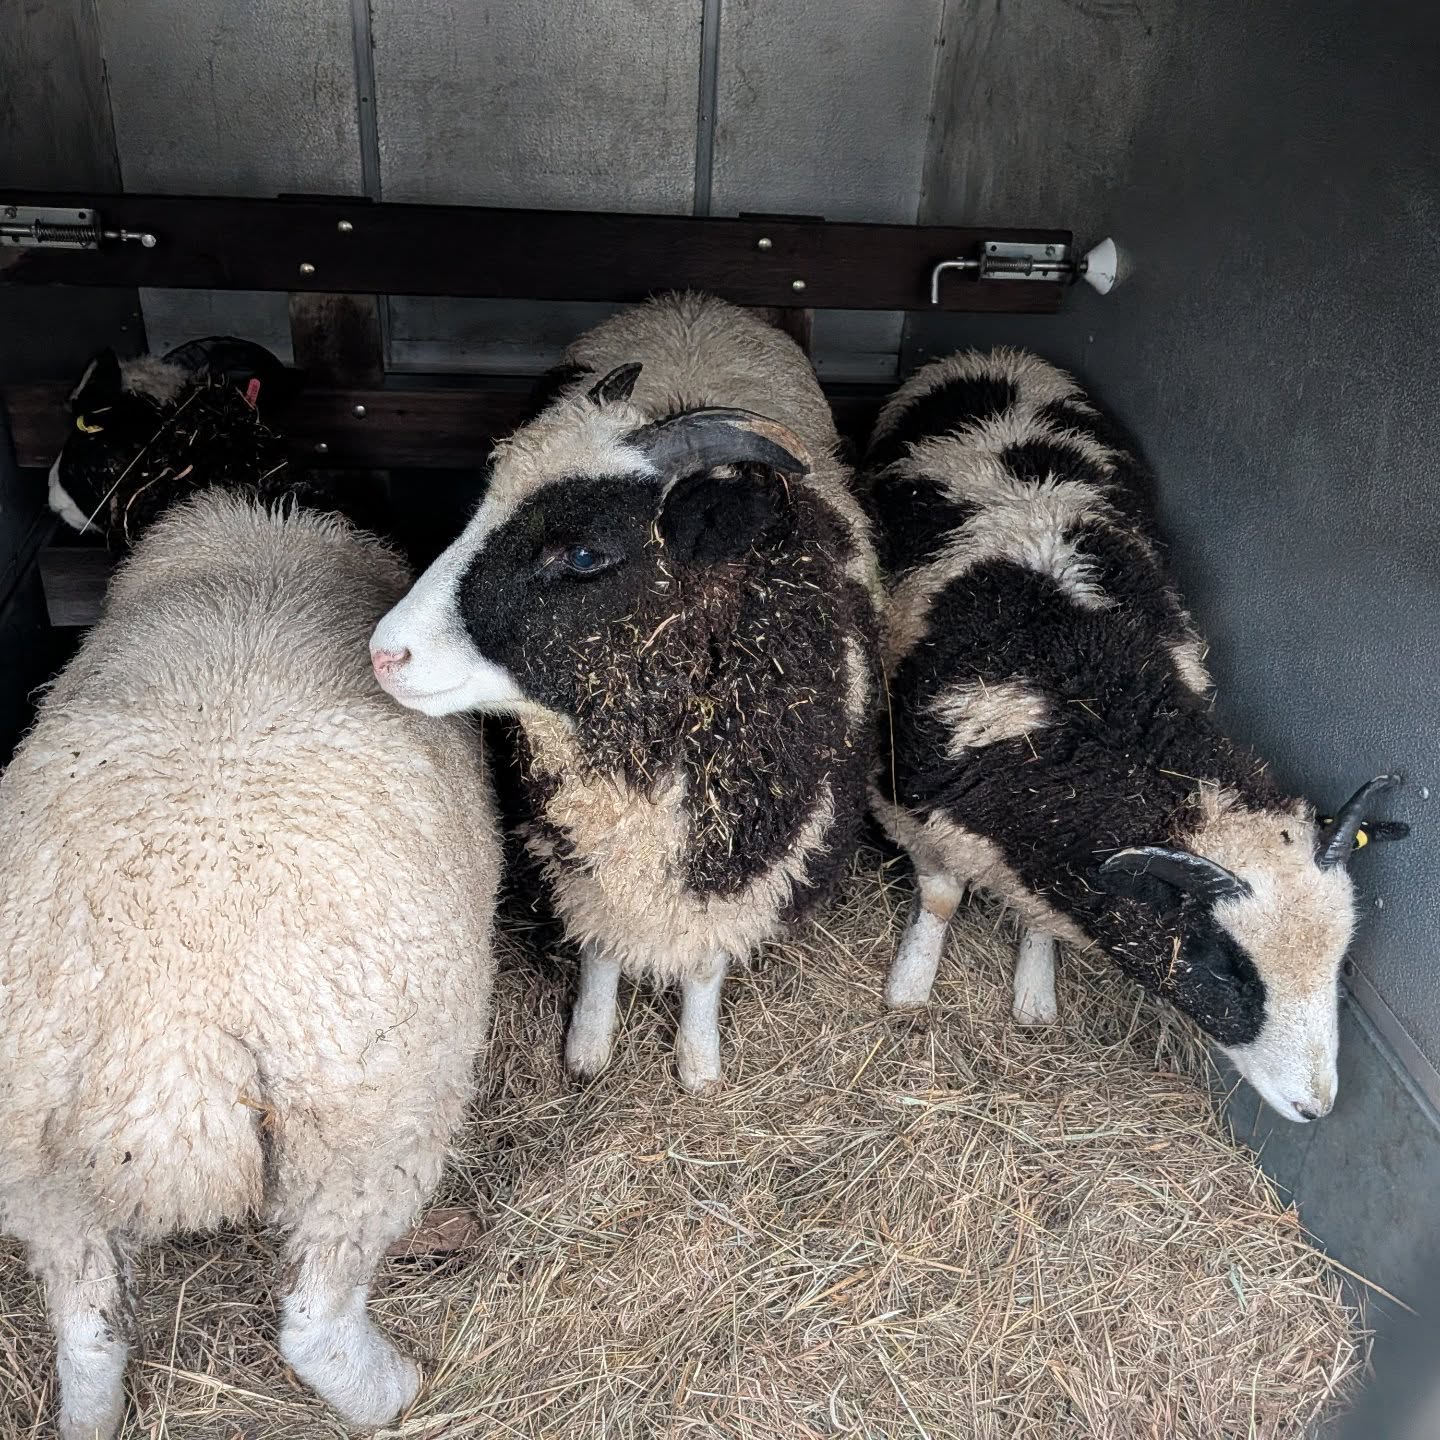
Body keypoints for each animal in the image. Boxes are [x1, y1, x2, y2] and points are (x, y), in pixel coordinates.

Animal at [1, 347, 501, 1439]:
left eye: (82, 428)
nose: (45, 493)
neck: (228, 490)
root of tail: (169, 1055)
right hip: (368, 1125)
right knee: (316, 1317)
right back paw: (390, 1389)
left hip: (39, 1162)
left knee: (89, 1324)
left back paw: (87, 1411)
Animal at [370, 292, 880, 1091]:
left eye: (583, 555)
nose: (387, 653)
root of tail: (695, 304)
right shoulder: (573, 847)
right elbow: (601, 943)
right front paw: (588, 1044)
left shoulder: (745, 862)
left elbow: (703, 965)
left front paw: (698, 1063)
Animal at [866, 348, 1406, 1124]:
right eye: (1225, 968)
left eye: (1340, 962)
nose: (1317, 1108)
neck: (1087, 687)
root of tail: (998, 353)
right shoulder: (906, 802)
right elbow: (940, 898)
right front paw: (910, 984)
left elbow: (1042, 919)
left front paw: (1035, 994)